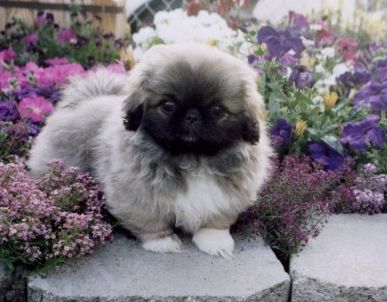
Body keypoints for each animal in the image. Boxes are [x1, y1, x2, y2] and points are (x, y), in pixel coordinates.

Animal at [28, 43, 272, 258]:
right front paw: (162, 242)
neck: (192, 159)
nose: (192, 115)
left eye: (218, 110)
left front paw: (215, 241)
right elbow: (150, 220)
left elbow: (216, 220)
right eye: (167, 105)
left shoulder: (230, 196)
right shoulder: (134, 193)